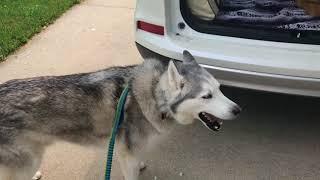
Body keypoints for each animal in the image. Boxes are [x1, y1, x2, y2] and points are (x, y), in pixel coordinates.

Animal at [0, 50, 240, 180]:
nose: (238, 110)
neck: (154, 94)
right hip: (28, 160)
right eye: (206, 96)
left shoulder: (128, 151)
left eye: (220, 89)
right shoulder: (128, 154)